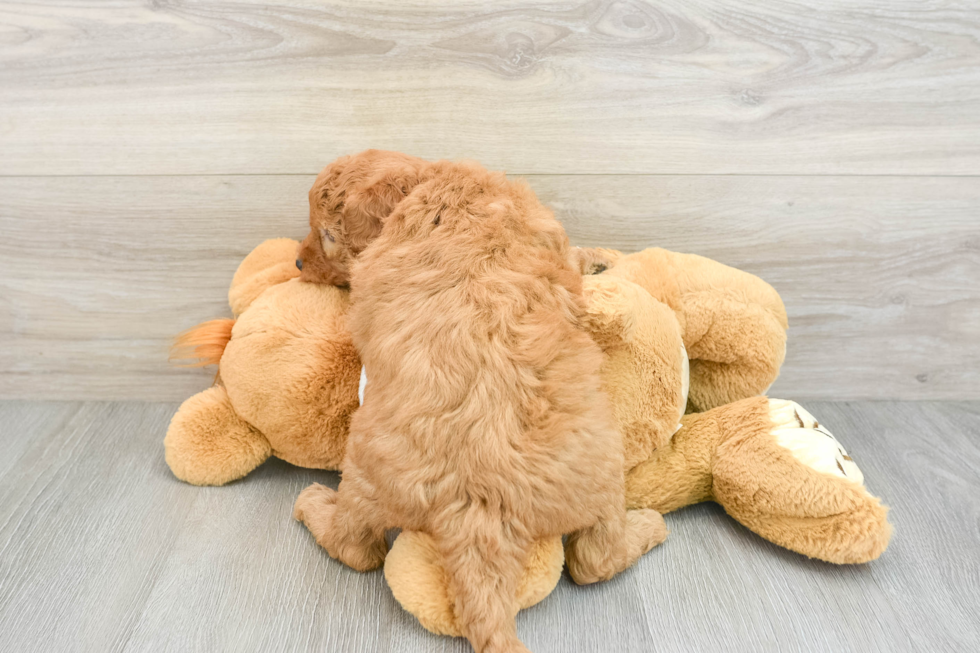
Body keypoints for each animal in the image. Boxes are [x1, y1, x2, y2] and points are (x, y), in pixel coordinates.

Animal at [294, 154, 664, 652]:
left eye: (328, 235)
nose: (296, 260)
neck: (428, 182)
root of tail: (479, 509)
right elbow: (571, 255)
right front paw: (599, 260)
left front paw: (601, 260)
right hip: (601, 470)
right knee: (595, 559)